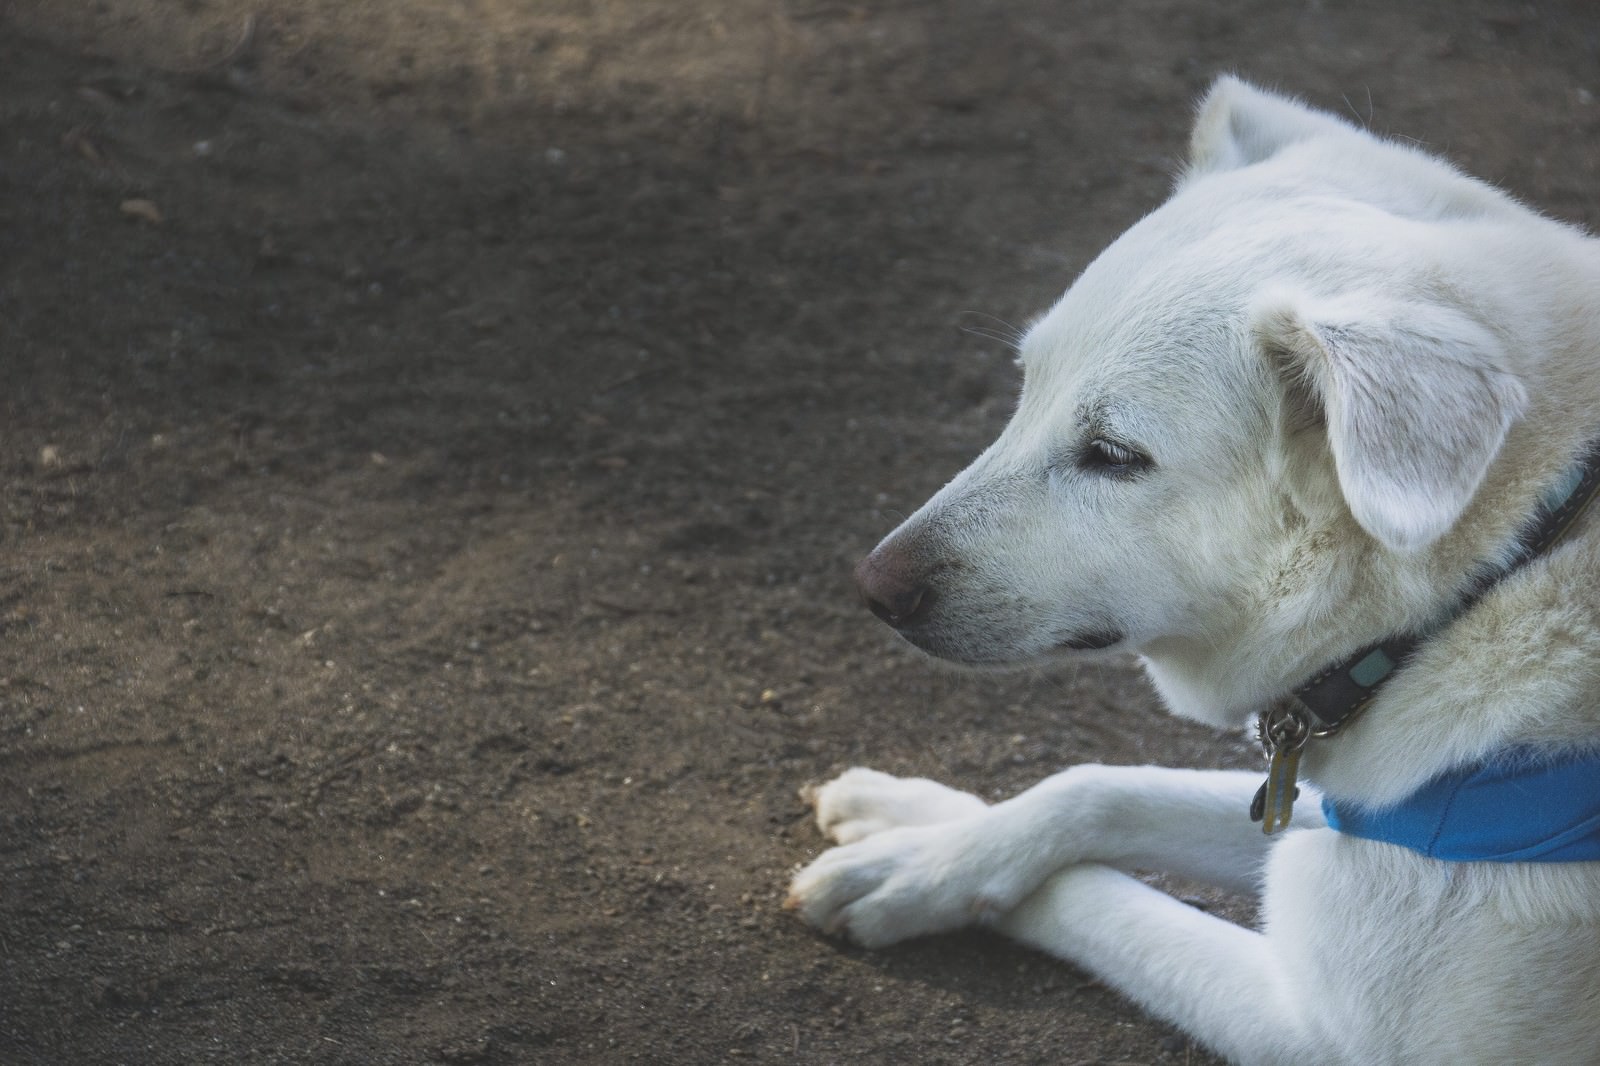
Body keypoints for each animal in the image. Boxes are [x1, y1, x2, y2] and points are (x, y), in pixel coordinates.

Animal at [784, 78, 1600, 1056]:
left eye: (1112, 455)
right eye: (1024, 388)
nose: (873, 589)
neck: (1490, 583)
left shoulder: (1317, 1030)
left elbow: (1092, 893)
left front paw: (906, 874)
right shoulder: (1307, 806)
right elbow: (1092, 787)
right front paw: (919, 833)